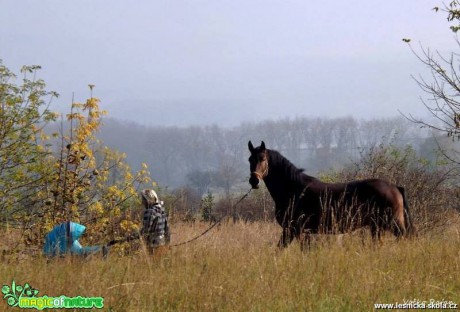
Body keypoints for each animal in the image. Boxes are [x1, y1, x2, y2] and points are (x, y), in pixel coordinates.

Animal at [248, 140, 414, 247]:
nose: (254, 181)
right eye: (250, 159)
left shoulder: (292, 229)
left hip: (393, 223)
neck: (294, 189)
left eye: (263, 158)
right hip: (377, 227)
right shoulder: (303, 232)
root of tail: (394, 187)